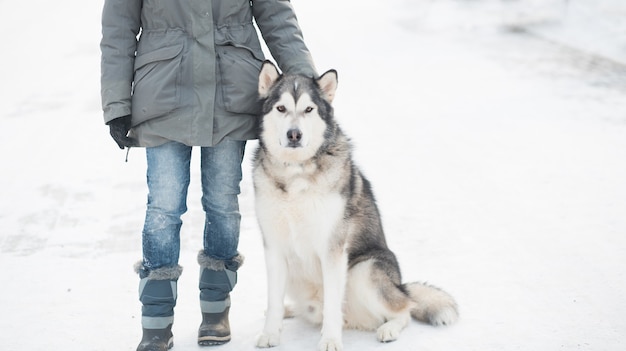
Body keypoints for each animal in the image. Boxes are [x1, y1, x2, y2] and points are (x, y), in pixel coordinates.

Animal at [250, 61, 458, 351]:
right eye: (281, 108)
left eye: (308, 109)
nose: (294, 134)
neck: (296, 172)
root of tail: (401, 285)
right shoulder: (274, 247)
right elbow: (273, 300)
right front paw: (270, 333)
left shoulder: (333, 248)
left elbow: (333, 304)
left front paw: (330, 340)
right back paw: (290, 310)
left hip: (364, 270)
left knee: (404, 309)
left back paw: (388, 329)